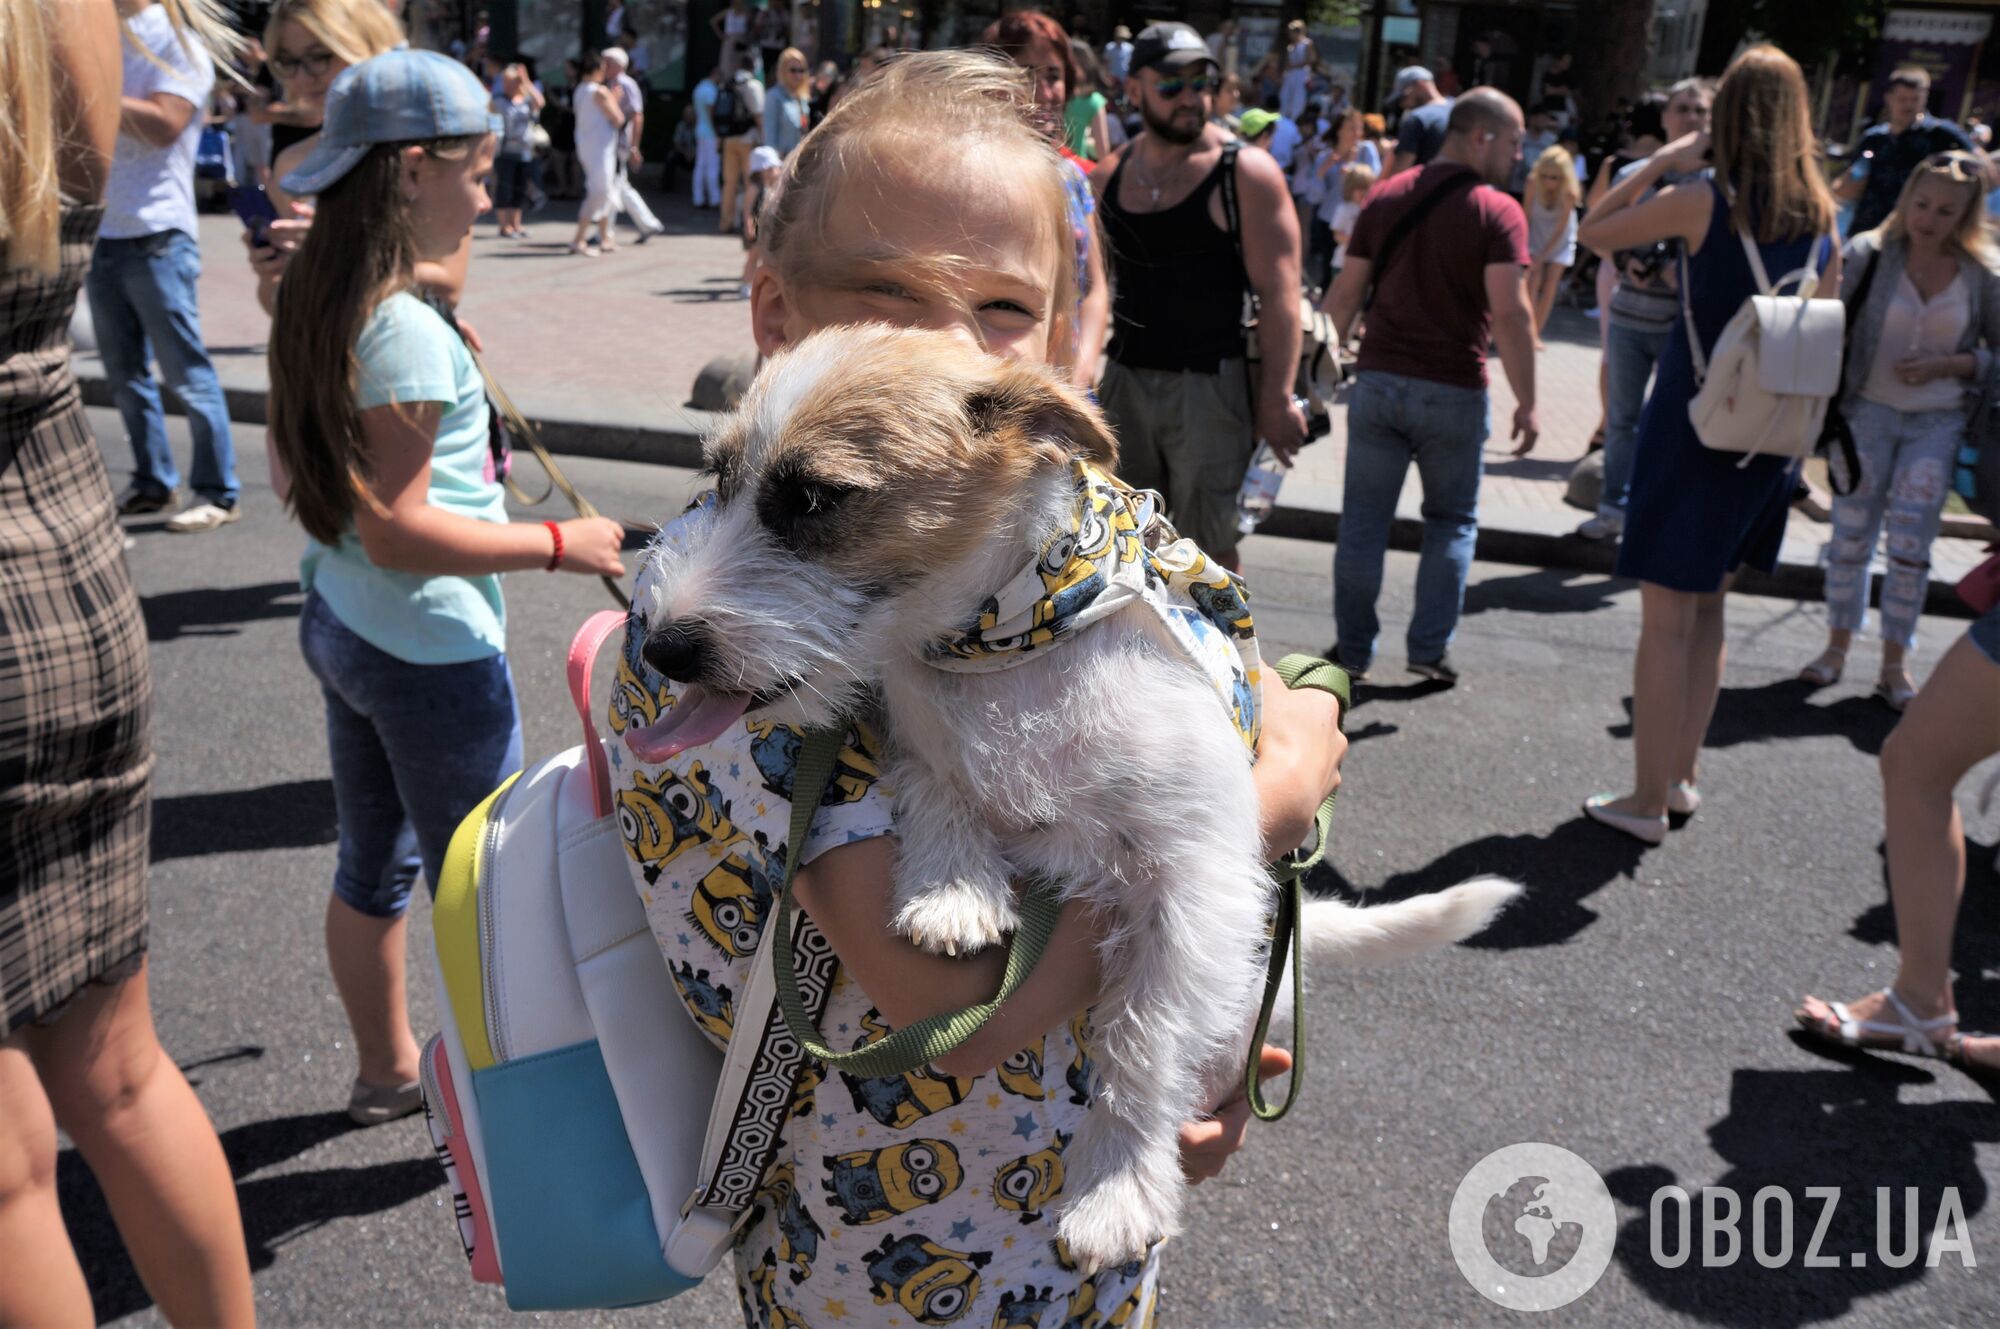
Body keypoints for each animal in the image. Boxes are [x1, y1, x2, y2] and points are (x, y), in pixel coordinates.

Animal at [624, 324, 1512, 1264]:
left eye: (812, 498)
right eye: (718, 479)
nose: (662, 646)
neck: (1006, 646)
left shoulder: (1192, 883)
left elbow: (1142, 1045)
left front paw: (1116, 1191)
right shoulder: (914, 729)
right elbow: (939, 788)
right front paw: (955, 891)